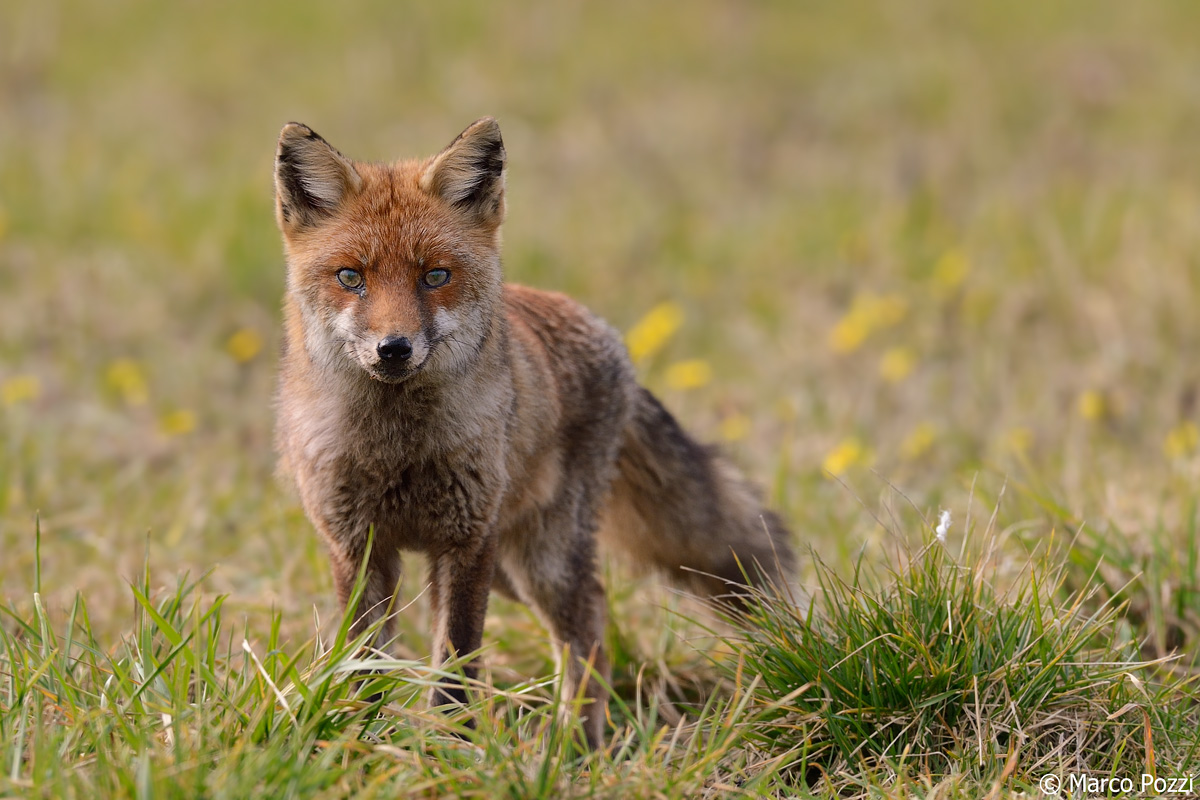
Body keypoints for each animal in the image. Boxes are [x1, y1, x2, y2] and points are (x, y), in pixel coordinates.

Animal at [272, 117, 795, 748]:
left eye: (435, 276)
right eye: (351, 277)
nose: (393, 348)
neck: (398, 449)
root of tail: (608, 336)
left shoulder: (467, 542)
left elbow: (456, 664)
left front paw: (451, 748)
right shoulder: (357, 545)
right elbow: (364, 662)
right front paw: (359, 742)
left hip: (539, 559)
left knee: (588, 619)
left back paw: (579, 743)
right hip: (510, 568)